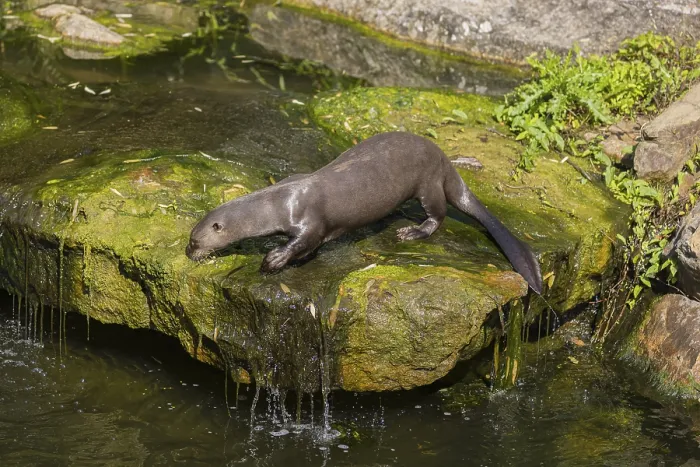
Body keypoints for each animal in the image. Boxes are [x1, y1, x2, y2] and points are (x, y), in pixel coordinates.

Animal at [186, 132, 543, 293]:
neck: (277, 201)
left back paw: (413, 231)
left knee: (439, 213)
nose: (189, 254)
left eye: (193, 241)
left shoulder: (310, 221)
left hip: (428, 182)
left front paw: (273, 260)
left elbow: (303, 241)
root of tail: (445, 160)